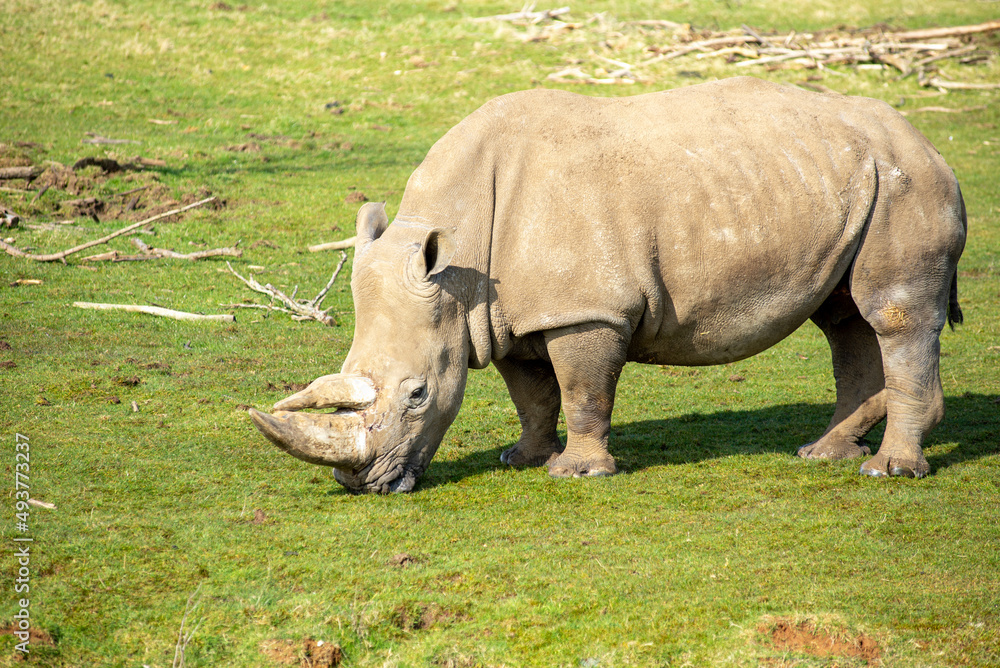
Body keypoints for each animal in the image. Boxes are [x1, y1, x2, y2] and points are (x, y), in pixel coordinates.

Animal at [249, 76, 966, 494]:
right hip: (848, 183)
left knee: (893, 315)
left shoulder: (584, 309)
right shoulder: (507, 313)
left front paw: (577, 473)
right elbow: (532, 393)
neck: (457, 254)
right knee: (845, 319)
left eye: (418, 394)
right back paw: (823, 454)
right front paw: (522, 458)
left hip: (903, 181)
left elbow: (581, 389)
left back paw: (888, 471)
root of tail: (930, 143)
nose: (359, 484)